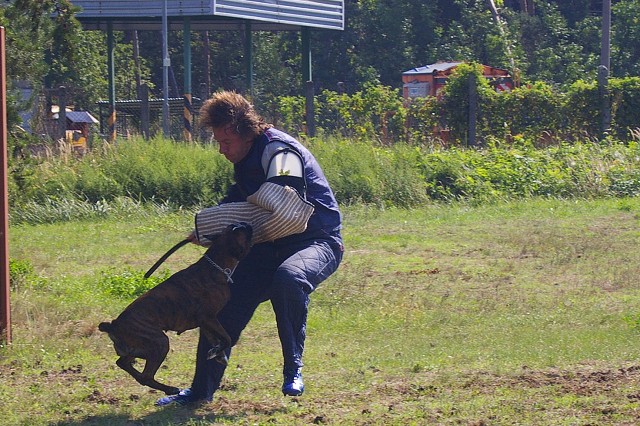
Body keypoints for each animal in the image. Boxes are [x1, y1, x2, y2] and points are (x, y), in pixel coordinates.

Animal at [99, 225, 251, 394]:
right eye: (240, 232)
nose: (246, 224)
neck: (216, 265)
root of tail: (113, 325)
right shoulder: (208, 318)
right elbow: (227, 338)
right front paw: (216, 352)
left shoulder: (206, 322)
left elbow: (217, 339)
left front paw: (218, 353)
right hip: (159, 343)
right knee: (145, 377)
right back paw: (170, 389)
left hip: (138, 350)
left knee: (123, 363)